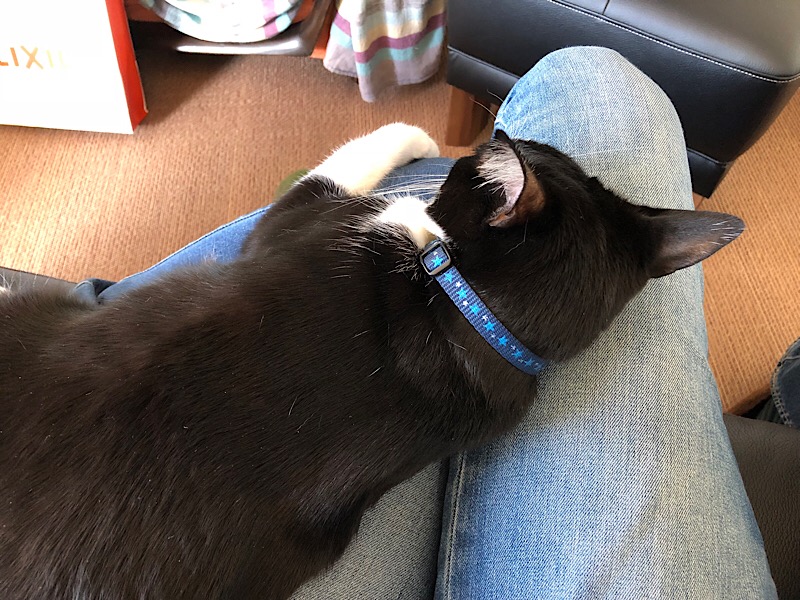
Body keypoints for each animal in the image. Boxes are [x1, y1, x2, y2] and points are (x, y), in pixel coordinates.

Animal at [0, 124, 743, 599]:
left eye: (465, 170)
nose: (489, 131)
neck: (472, 313)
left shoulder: (299, 222)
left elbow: (349, 158)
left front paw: (416, 140)